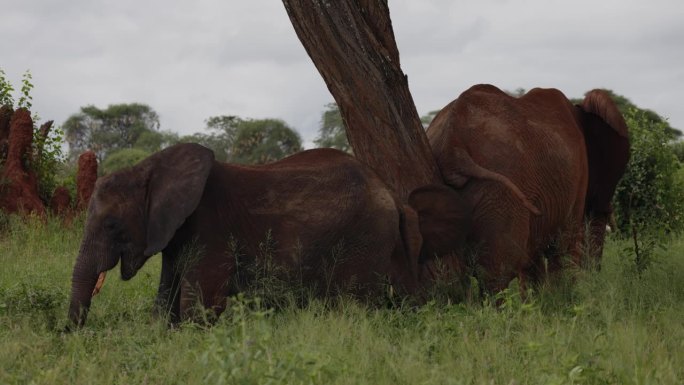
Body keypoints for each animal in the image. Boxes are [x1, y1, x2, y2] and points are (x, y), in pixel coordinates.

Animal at [68, 142, 422, 326]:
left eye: (112, 225)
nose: (71, 334)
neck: (148, 168)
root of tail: (390, 193)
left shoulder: (211, 229)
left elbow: (201, 307)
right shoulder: (175, 234)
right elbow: (165, 300)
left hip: (365, 239)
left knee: (354, 307)